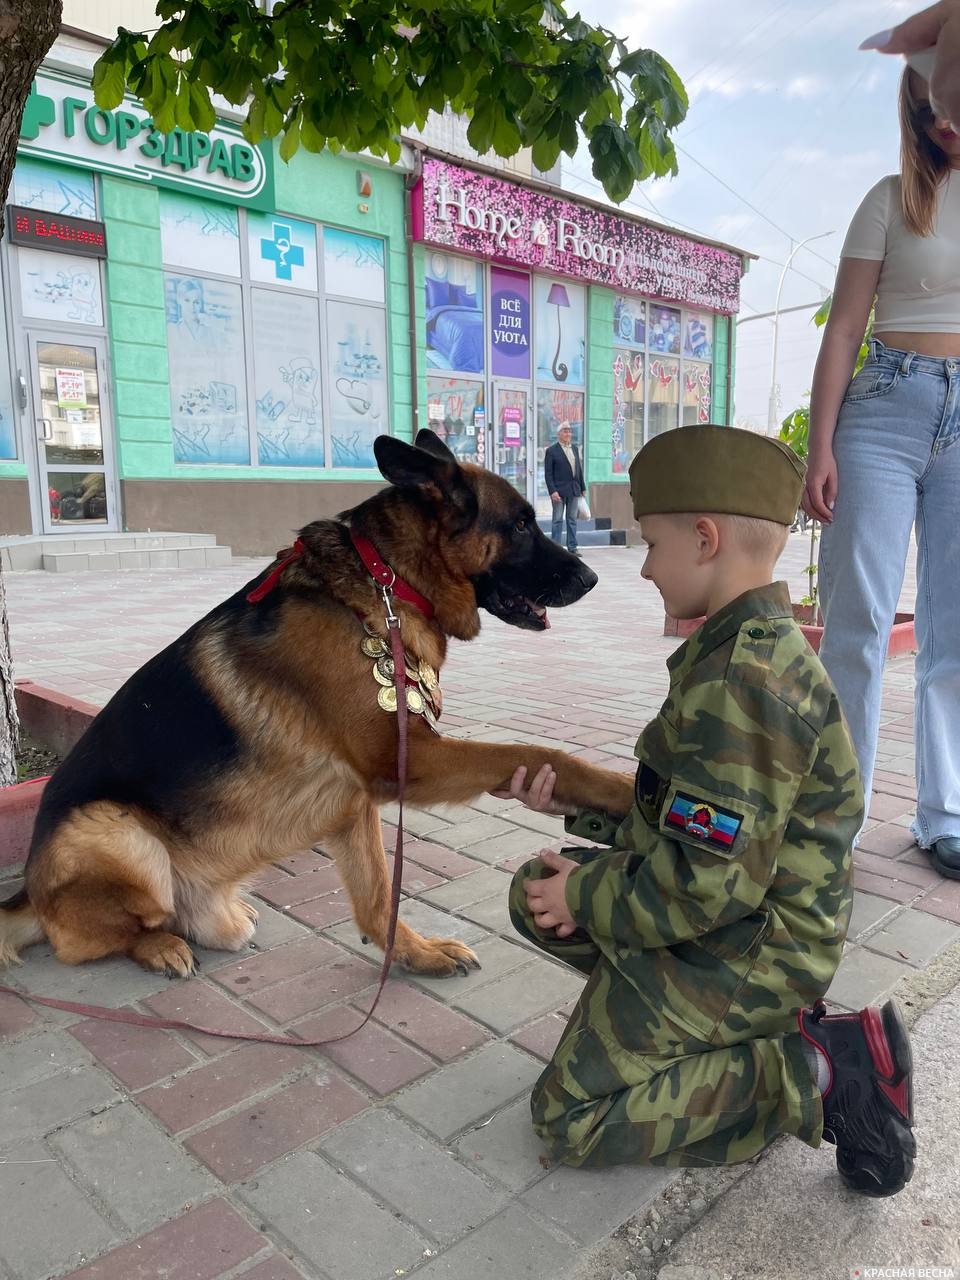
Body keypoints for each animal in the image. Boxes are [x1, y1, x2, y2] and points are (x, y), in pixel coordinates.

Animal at [0, 430, 634, 977]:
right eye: (523, 525)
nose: (593, 577)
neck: (388, 581)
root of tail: (27, 893)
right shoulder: (404, 760)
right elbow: (538, 751)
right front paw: (623, 788)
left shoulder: (355, 799)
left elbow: (379, 896)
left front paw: (415, 954)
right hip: (114, 830)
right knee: (90, 941)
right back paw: (158, 947)